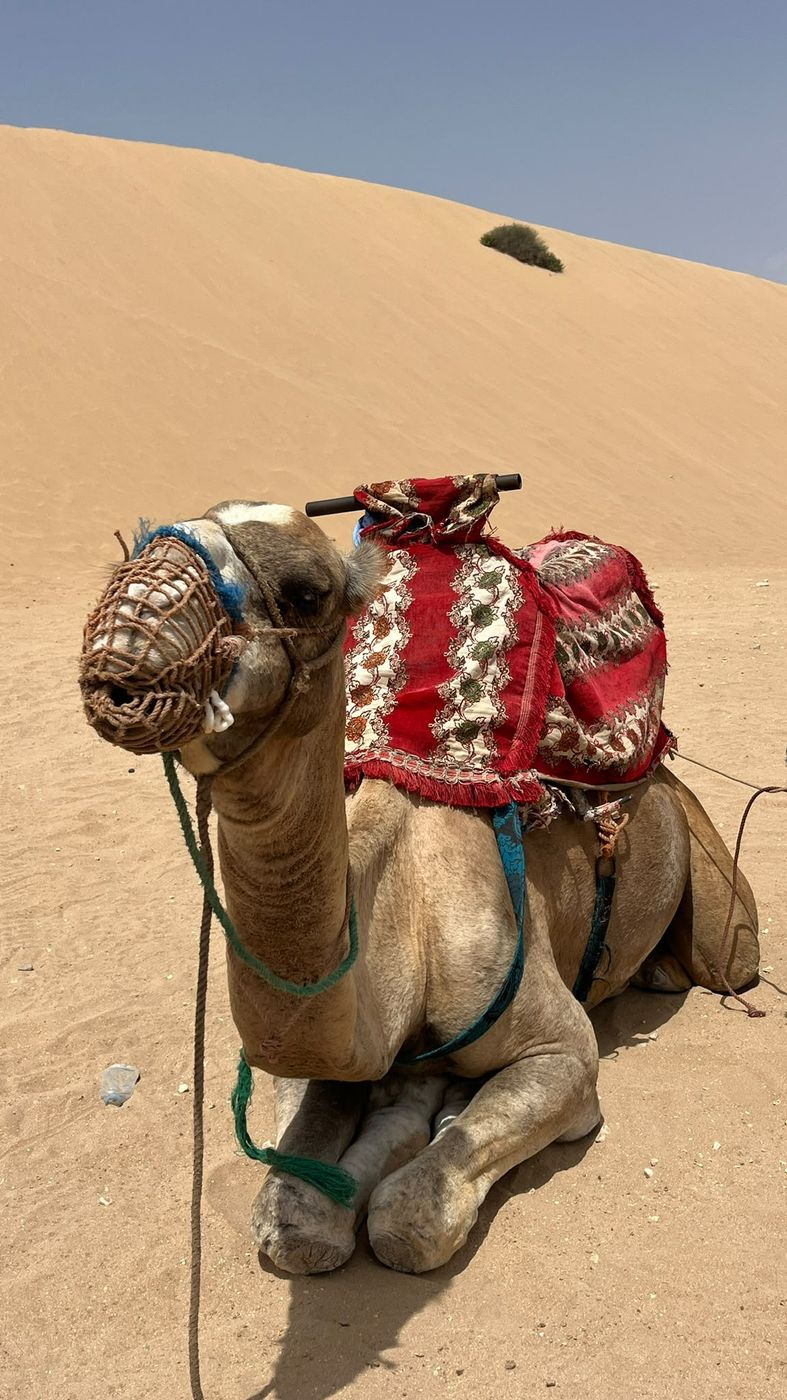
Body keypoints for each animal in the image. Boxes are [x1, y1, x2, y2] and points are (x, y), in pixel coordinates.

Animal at [91, 499, 761, 1276]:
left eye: (307, 592)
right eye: (138, 546)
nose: (122, 644)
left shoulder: (564, 1050)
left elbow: (410, 1217)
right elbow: (292, 1214)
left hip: (714, 893)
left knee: (725, 957)